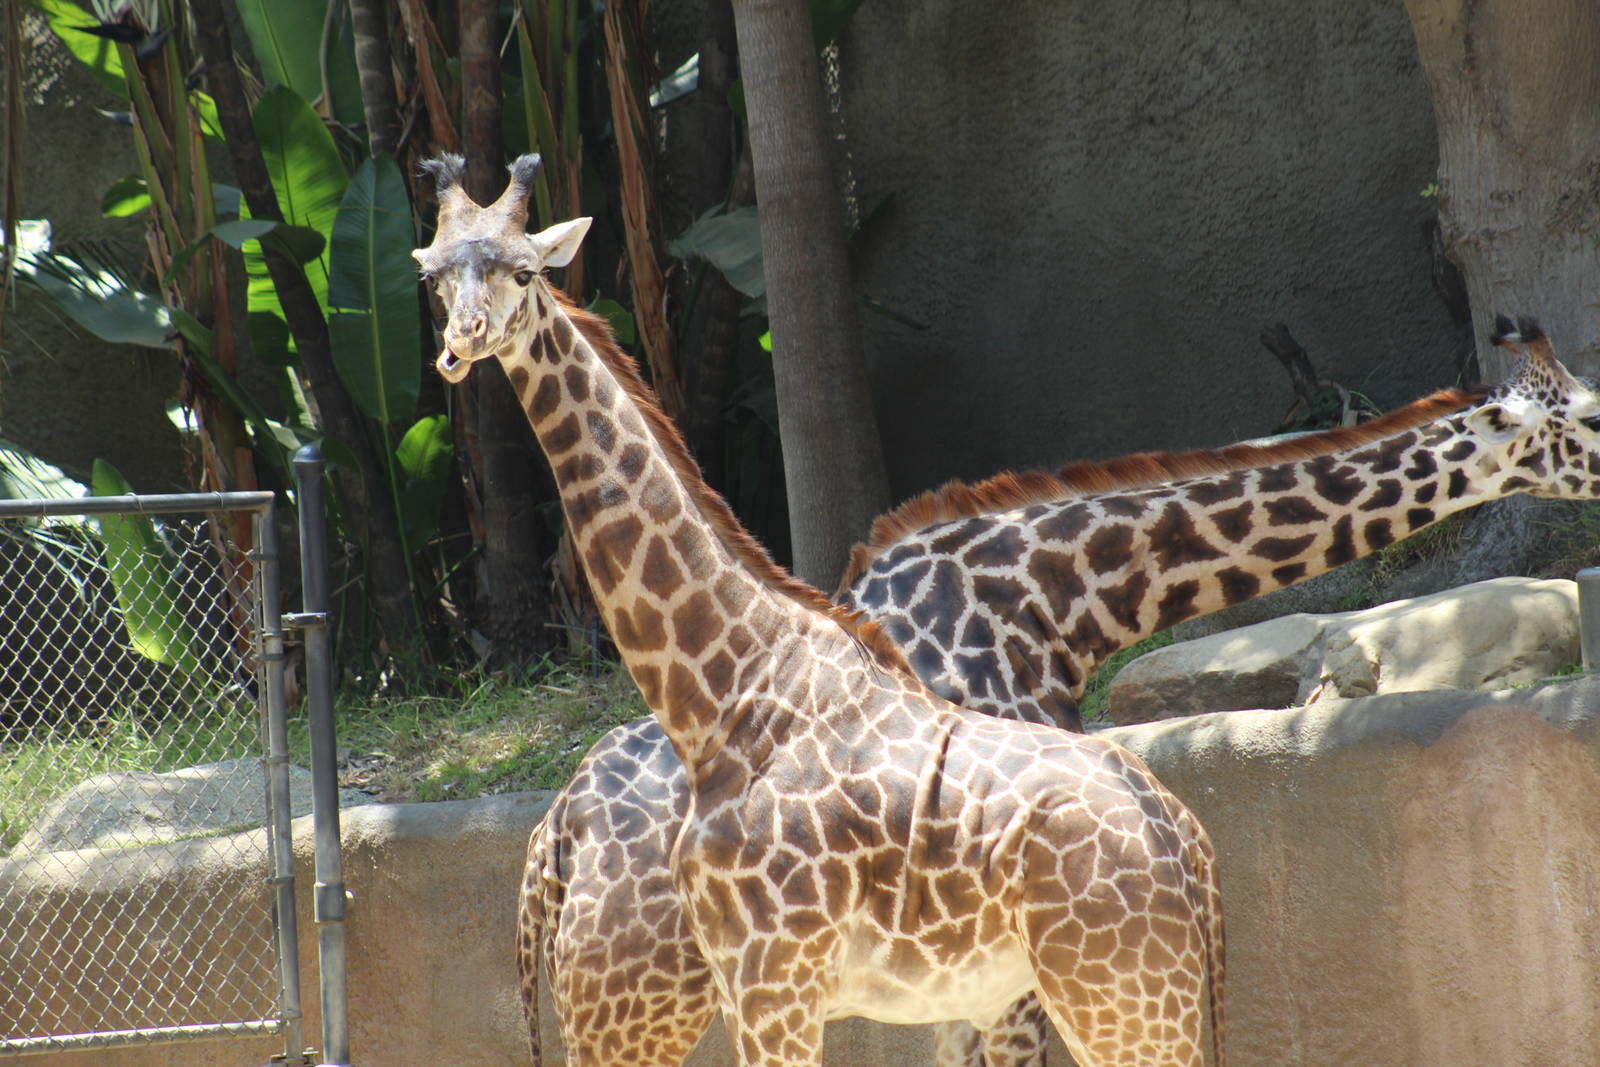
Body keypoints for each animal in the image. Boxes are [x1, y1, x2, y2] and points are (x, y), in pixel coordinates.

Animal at [413, 153, 1225, 1067]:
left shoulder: (778, 978)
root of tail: (1189, 845)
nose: (461, 343)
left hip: (1117, 998)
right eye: (432, 274)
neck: (725, 693)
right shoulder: (752, 985)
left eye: (524, 270)